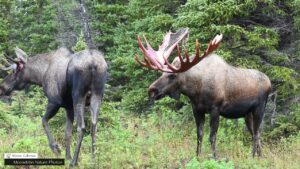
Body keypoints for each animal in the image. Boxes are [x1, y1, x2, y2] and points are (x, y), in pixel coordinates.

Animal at [136, 28, 272, 158]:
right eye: (162, 73)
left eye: (172, 75)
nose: (151, 90)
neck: (196, 91)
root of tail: (269, 82)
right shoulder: (197, 109)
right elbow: (199, 135)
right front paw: (197, 156)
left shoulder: (215, 109)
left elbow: (212, 137)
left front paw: (215, 157)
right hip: (247, 113)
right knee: (256, 133)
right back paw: (260, 156)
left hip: (259, 108)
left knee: (256, 133)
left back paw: (253, 156)